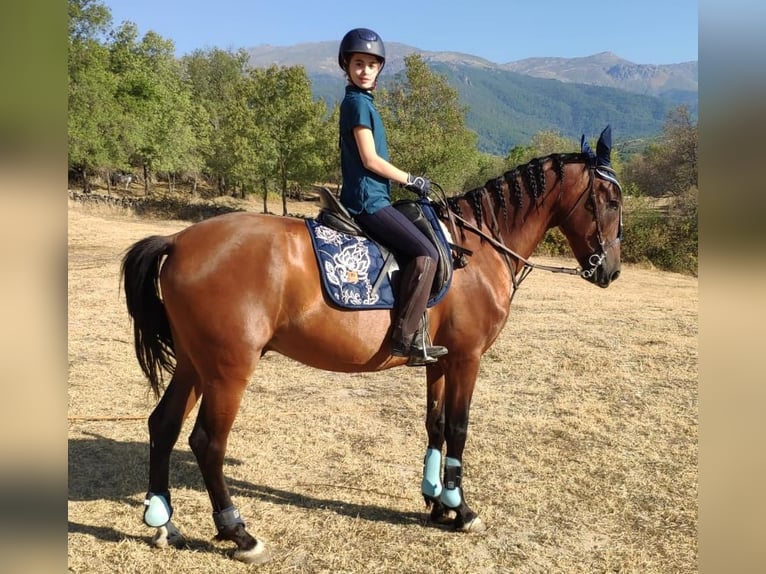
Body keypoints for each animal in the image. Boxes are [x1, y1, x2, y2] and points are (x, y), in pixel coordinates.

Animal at [121, 126, 623, 564]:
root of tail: (179, 240)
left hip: (194, 362)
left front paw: (436, 500)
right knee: (207, 442)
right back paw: (238, 532)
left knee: (163, 424)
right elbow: (460, 428)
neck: (476, 250)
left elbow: (436, 424)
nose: (610, 270)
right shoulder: (467, 358)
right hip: (228, 369)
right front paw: (461, 509)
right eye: (611, 200)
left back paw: (162, 522)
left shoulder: (439, 361)